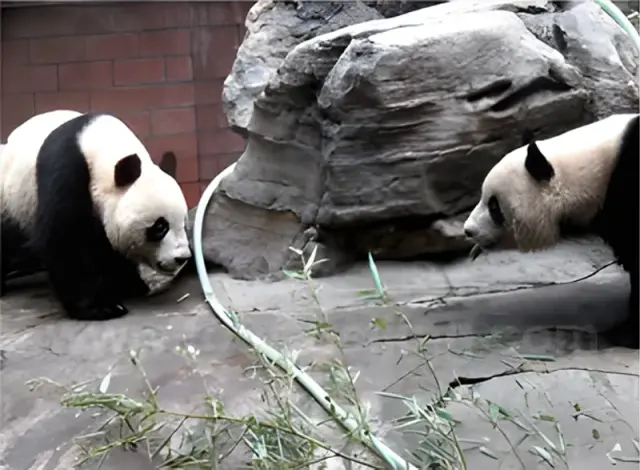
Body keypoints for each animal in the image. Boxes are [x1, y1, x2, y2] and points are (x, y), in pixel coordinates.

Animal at [0, 110, 192, 321]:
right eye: (160, 227)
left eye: (184, 224)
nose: (182, 258)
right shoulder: (65, 168)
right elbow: (64, 238)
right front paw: (102, 307)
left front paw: (128, 283)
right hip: (10, 201)